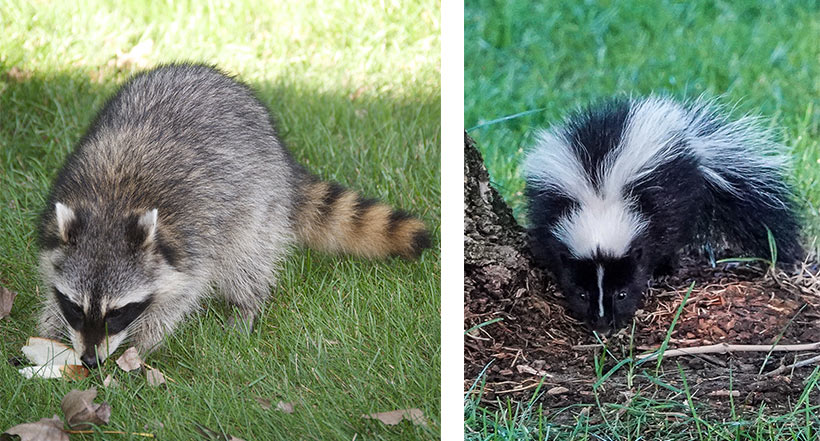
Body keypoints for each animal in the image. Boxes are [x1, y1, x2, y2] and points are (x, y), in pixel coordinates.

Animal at [37, 63, 430, 368]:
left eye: (118, 312)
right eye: (75, 307)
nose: (90, 361)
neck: (112, 207)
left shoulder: (192, 241)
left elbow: (180, 296)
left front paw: (141, 344)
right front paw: (50, 329)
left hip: (258, 202)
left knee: (246, 259)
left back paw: (247, 304)